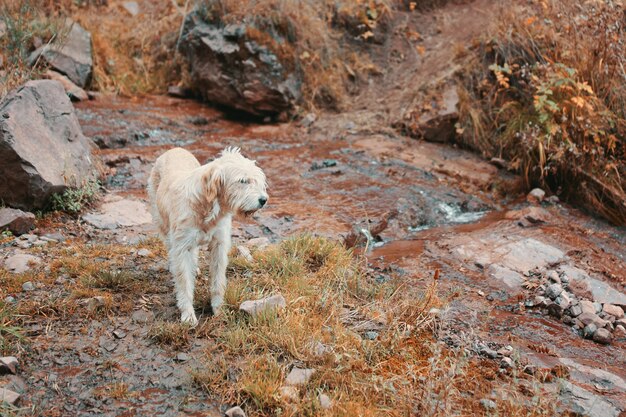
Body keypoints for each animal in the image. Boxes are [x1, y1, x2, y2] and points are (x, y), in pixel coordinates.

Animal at [147, 146, 266, 324]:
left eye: (257, 179)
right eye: (243, 181)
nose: (264, 200)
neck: (207, 207)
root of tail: (175, 149)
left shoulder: (219, 245)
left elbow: (218, 280)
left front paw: (219, 309)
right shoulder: (181, 246)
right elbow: (184, 281)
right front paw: (188, 314)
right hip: (162, 223)